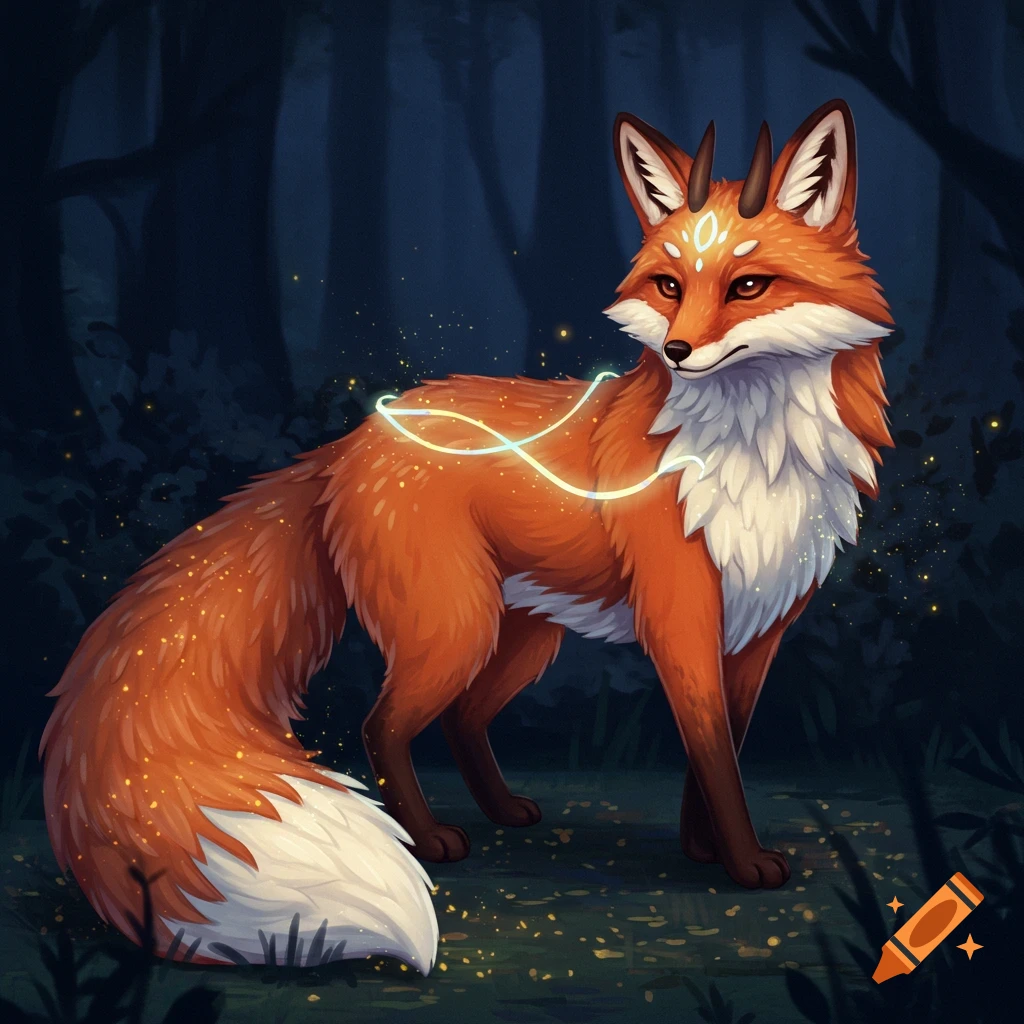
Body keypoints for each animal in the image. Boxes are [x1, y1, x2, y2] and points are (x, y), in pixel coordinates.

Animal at [40, 98, 892, 972]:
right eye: (669, 284)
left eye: (749, 285)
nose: (679, 351)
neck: (756, 458)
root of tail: (348, 443)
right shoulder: (680, 618)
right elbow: (716, 755)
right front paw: (744, 865)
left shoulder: (757, 633)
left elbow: (717, 751)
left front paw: (704, 850)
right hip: (456, 626)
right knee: (382, 726)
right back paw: (429, 839)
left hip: (519, 634)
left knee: (462, 718)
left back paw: (503, 810)